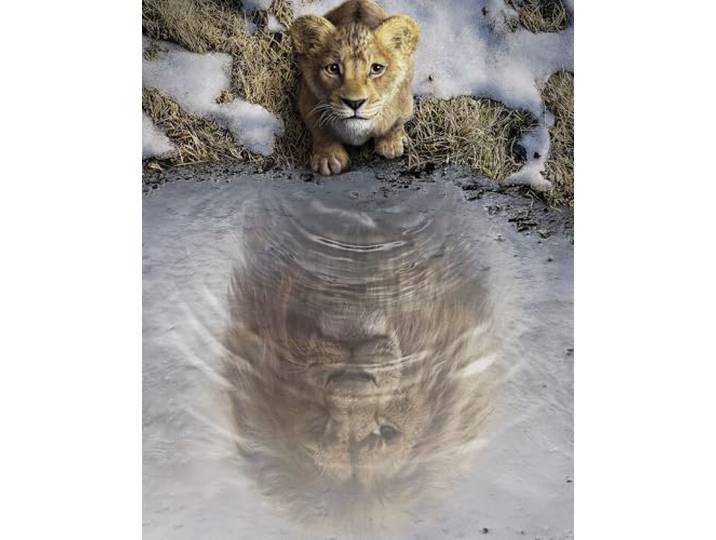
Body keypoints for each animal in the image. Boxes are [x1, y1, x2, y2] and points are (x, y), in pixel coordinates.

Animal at [290, 0, 420, 175]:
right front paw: (328, 158)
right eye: (333, 68)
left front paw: (391, 144)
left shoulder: (405, 102)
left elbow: (395, 124)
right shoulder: (308, 102)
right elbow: (320, 131)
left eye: (376, 68)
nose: (354, 103)